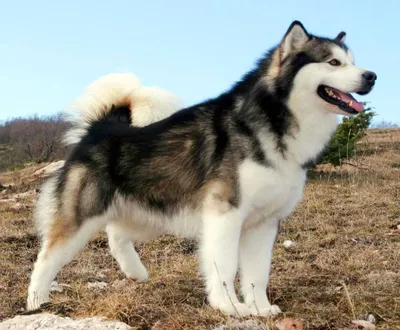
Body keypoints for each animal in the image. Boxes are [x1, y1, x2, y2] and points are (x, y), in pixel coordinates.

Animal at [26, 20, 376, 314]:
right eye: (333, 62)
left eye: (353, 60)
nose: (371, 76)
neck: (273, 119)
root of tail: (101, 127)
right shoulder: (225, 214)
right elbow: (225, 265)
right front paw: (231, 307)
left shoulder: (264, 223)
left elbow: (258, 274)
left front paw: (260, 309)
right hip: (81, 218)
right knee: (45, 260)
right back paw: (36, 303)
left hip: (150, 215)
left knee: (116, 234)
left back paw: (135, 272)